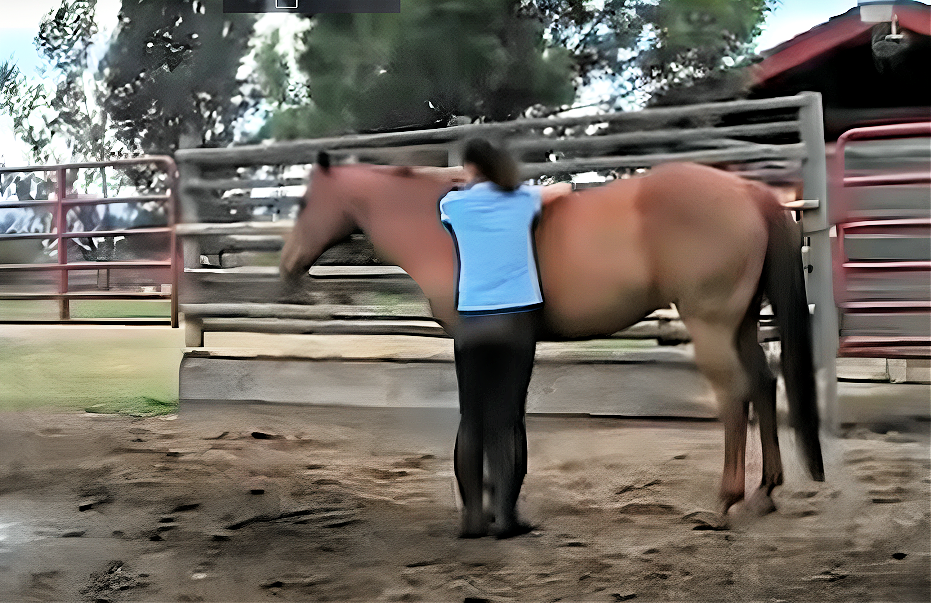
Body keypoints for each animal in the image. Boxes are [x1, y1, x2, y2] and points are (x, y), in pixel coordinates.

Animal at [279, 155, 825, 516]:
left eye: (304, 201)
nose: (288, 266)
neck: (449, 227)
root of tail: (750, 192)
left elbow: (484, 413)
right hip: (742, 323)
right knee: (763, 383)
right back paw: (765, 492)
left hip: (711, 325)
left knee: (735, 395)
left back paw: (727, 499)